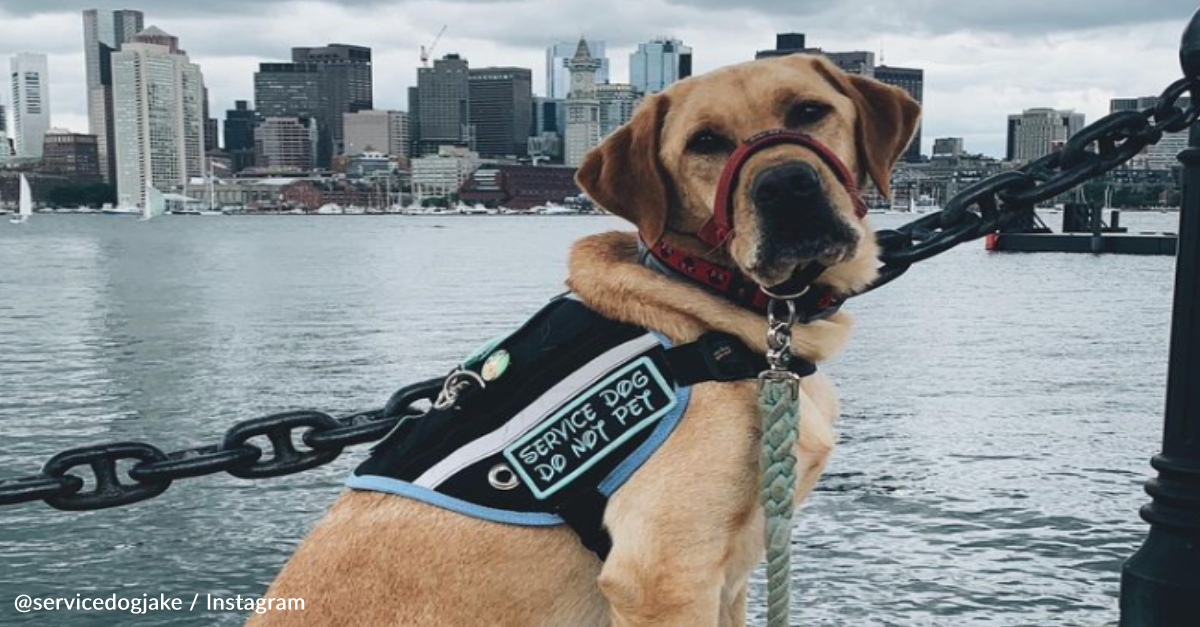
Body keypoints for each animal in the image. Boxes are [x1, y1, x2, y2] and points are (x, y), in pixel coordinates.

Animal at [246, 54, 916, 624]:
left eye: (809, 111)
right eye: (704, 142)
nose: (785, 185)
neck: (720, 312)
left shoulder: (732, 572)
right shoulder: (664, 577)